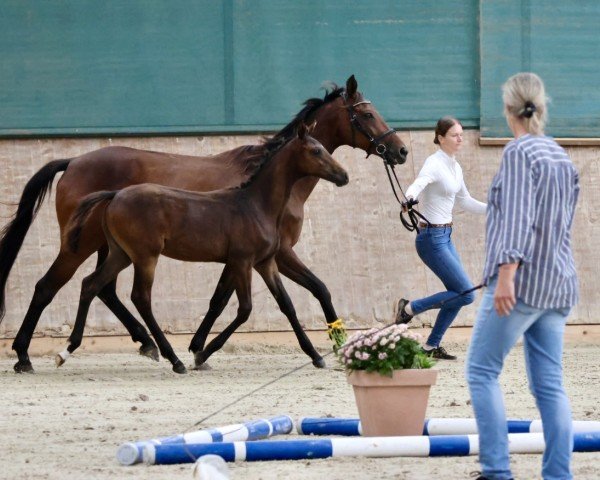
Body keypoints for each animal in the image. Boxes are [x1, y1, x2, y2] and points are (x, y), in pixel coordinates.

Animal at [0, 76, 408, 376]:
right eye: (366, 115)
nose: (401, 151)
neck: (264, 187)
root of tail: (73, 161)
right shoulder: (273, 253)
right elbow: (277, 295)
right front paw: (200, 350)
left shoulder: (255, 257)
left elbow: (238, 299)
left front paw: (199, 349)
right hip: (82, 245)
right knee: (49, 286)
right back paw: (24, 355)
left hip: (113, 248)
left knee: (104, 289)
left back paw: (146, 344)